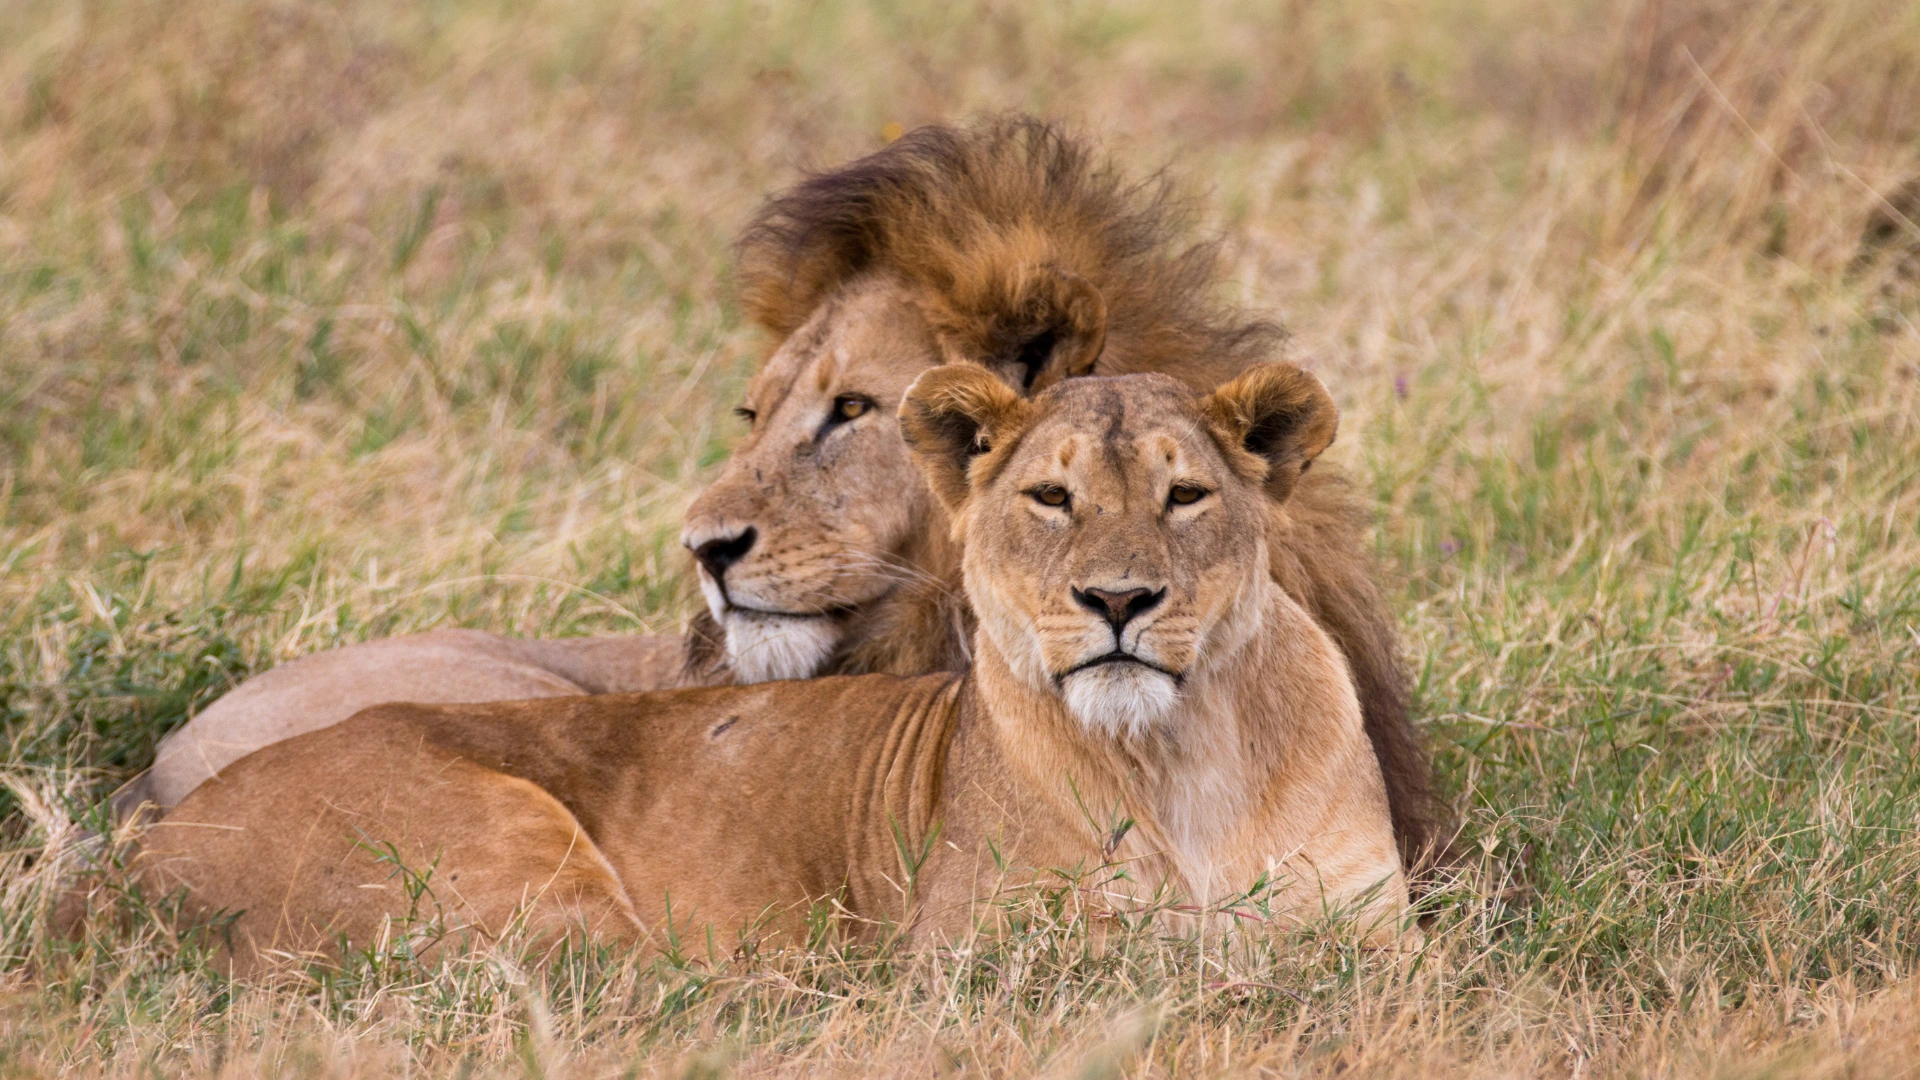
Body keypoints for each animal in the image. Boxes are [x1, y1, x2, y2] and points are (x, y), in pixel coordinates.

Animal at [135, 363, 1410, 975]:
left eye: (1185, 495)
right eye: (1051, 498)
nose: (1118, 602)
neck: (1186, 753)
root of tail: (154, 839)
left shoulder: (1374, 935)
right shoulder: (988, 953)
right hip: (511, 861)